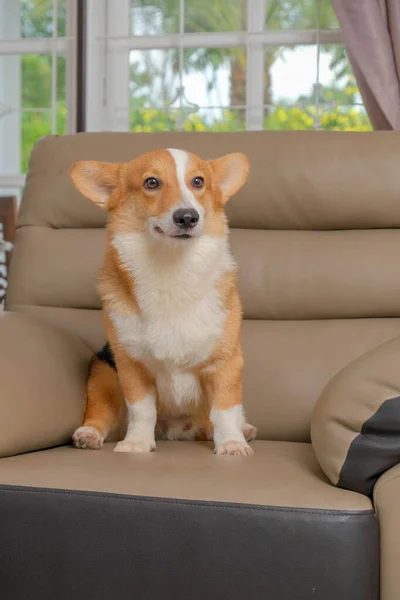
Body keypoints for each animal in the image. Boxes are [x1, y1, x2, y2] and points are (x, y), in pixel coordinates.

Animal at [69, 149, 256, 454]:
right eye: (152, 182)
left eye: (198, 181)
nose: (187, 217)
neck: (171, 266)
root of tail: (174, 431)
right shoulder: (130, 365)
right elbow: (142, 410)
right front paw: (137, 443)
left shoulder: (225, 363)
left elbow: (224, 410)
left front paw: (231, 444)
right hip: (103, 372)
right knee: (102, 414)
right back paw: (89, 434)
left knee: (215, 421)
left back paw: (243, 431)